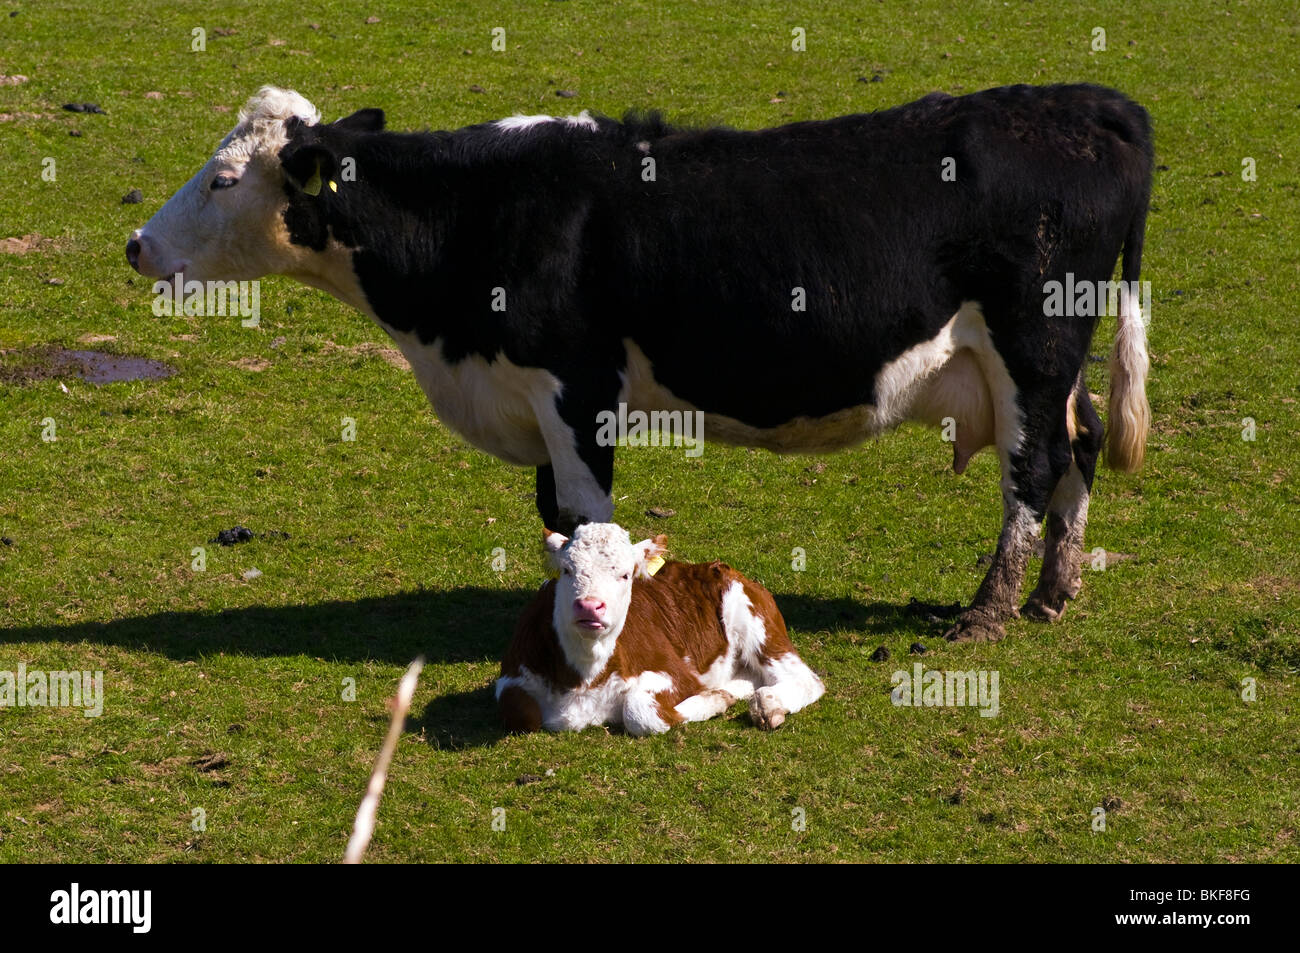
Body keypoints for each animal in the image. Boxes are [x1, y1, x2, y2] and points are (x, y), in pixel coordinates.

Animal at [126, 85, 1154, 642]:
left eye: (224, 178)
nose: (138, 245)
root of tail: (1080, 103)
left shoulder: (574, 389)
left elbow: (584, 515)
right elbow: (556, 519)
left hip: (1030, 346)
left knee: (1034, 468)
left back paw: (989, 608)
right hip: (1054, 357)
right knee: (1081, 445)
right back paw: (1054, 593)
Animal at [496, 520, 821, 738]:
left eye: (625, 575)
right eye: (567, 570)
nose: (589, 606)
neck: (585, 676)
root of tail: (711, 566)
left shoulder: (677, 674)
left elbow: (640, 712)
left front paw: (713, 700)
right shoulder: (512, 675)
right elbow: (521, 714)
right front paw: (718, 696)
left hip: (755, 620)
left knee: (806, 679)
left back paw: (768, 704)